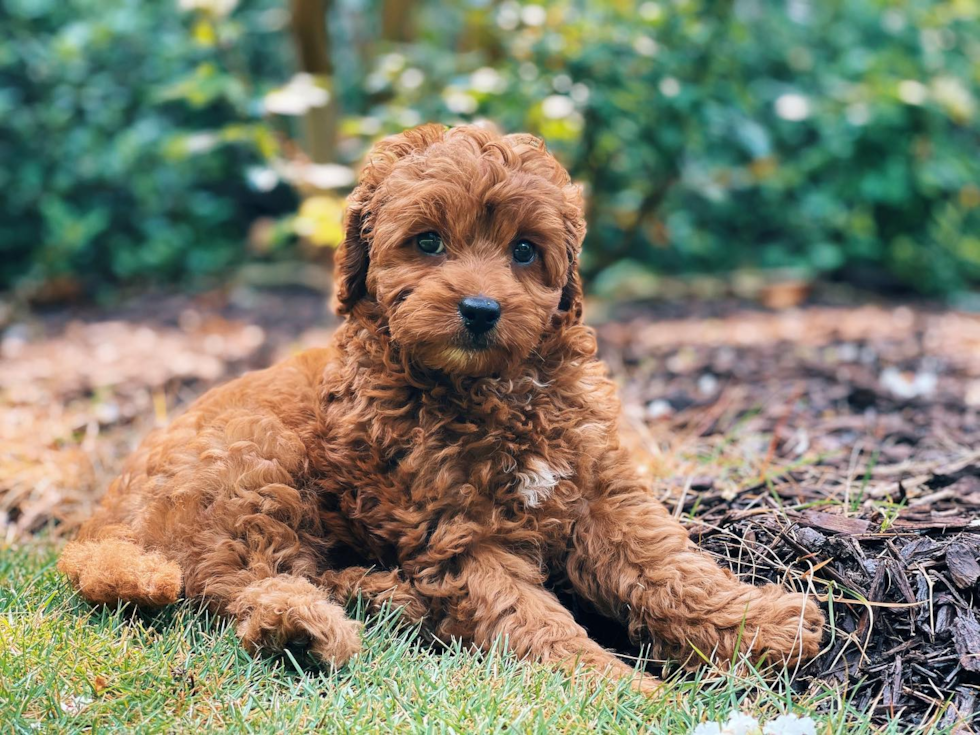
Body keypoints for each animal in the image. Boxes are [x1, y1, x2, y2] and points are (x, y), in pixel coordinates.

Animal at [61, 125, 824, 688]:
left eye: (525, 251)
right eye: (427, 241)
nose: (480, 309)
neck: (495, 391)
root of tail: (99, 525)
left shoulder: (600, 492)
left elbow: (666, 566)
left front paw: (756, 623)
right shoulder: (455, 533)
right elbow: (528, 616)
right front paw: (617, 688)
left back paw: (380, 598)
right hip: (256, 458)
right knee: (241, 580)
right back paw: (308, 628)